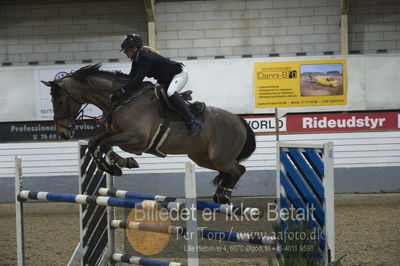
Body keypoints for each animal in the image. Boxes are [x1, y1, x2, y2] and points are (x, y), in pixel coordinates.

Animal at [42, 64, 255, 204]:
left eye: (59, 100)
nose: (61, 132)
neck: (121, 99)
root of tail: (239, 121)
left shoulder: (136, 139)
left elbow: (103, 144)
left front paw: (116, 165)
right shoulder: (114, 133)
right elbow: (97, 142)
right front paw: (120, 165)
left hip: (219, 157)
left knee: (238, 169)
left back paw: (225, 195)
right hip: (202, 157)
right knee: (230, 170)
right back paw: (220, 194)